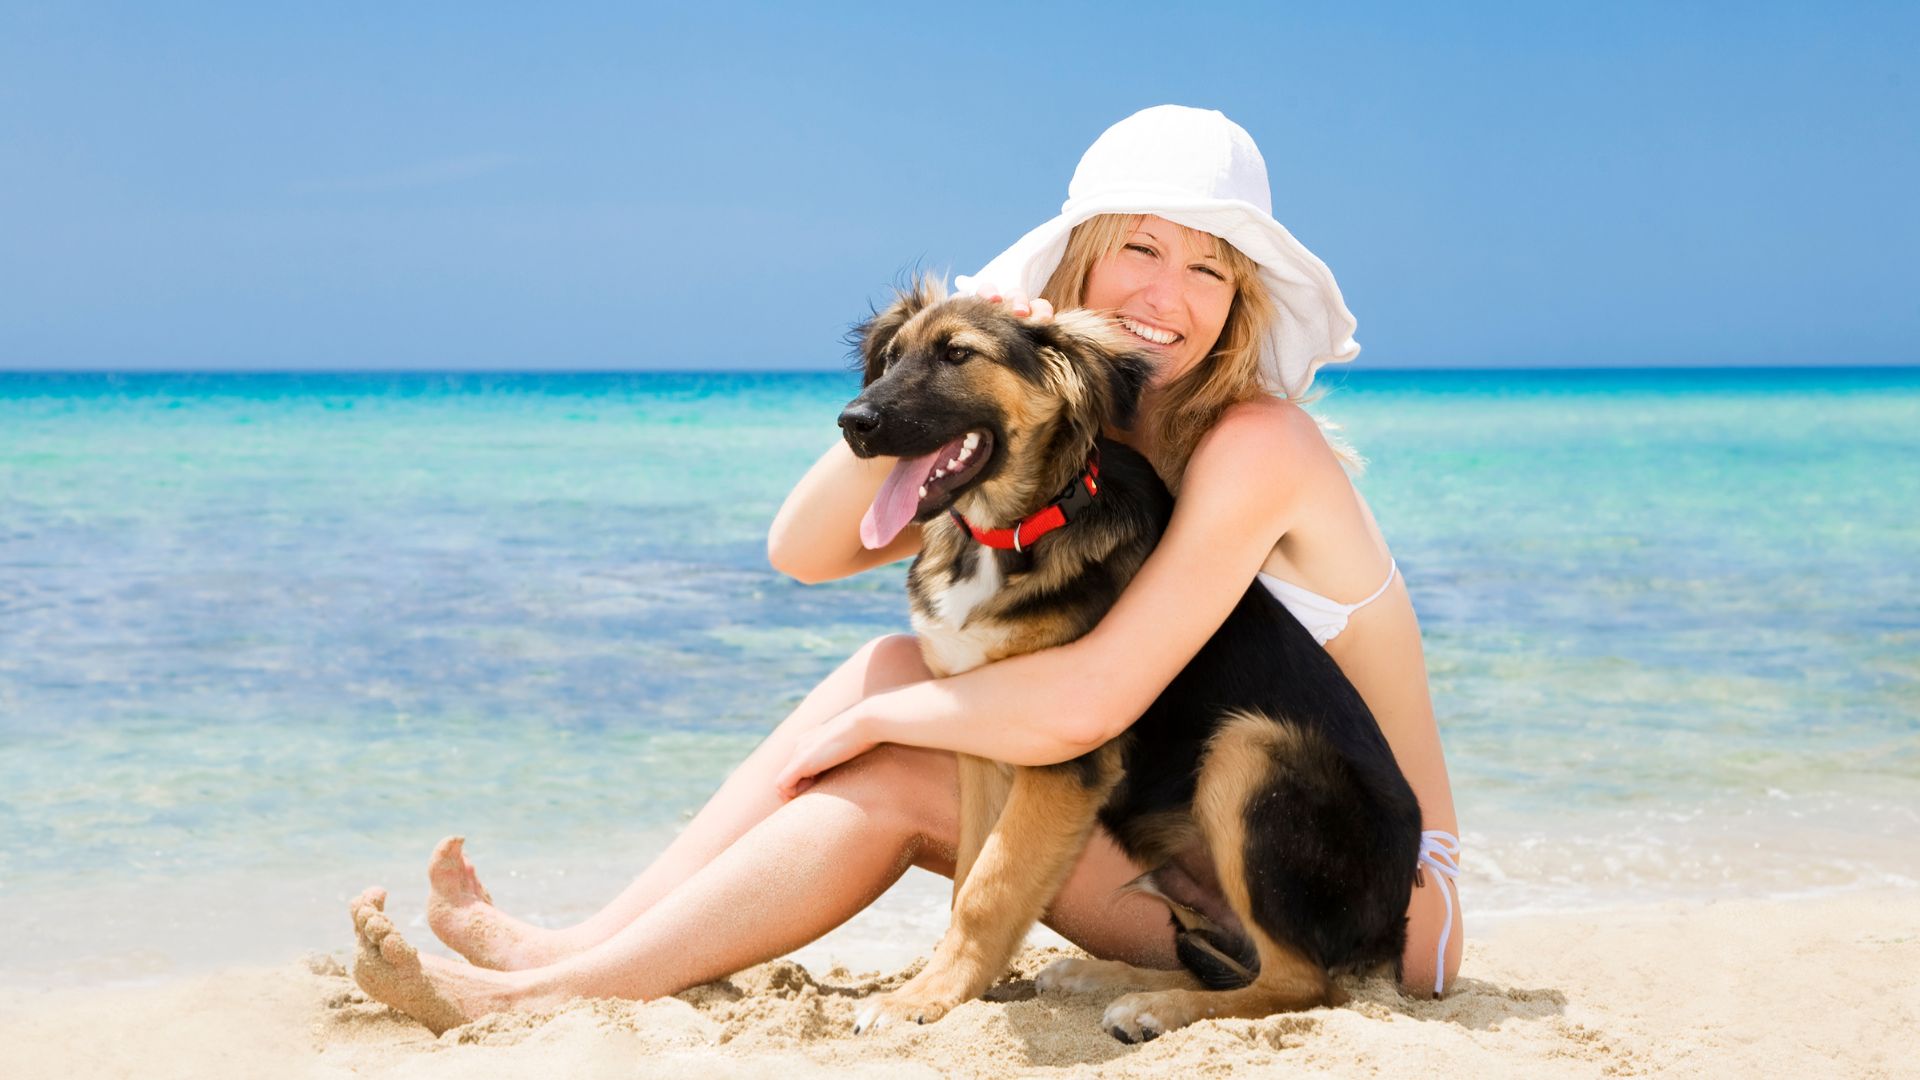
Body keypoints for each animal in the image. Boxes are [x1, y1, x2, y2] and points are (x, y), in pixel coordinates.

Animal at [833, 282, 1420, 1037]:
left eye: (958, 354)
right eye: (891, 358)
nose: (853, 424)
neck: (1011, 531)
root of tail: (1394, 932)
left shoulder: (1061, 755)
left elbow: (990, 886)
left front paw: (921, 997)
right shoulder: (982, 734)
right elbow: (971, 875)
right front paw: (953, 987)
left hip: (1252, 749)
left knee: (1300, 981)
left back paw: (1158, 1006)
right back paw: (1106, 977)